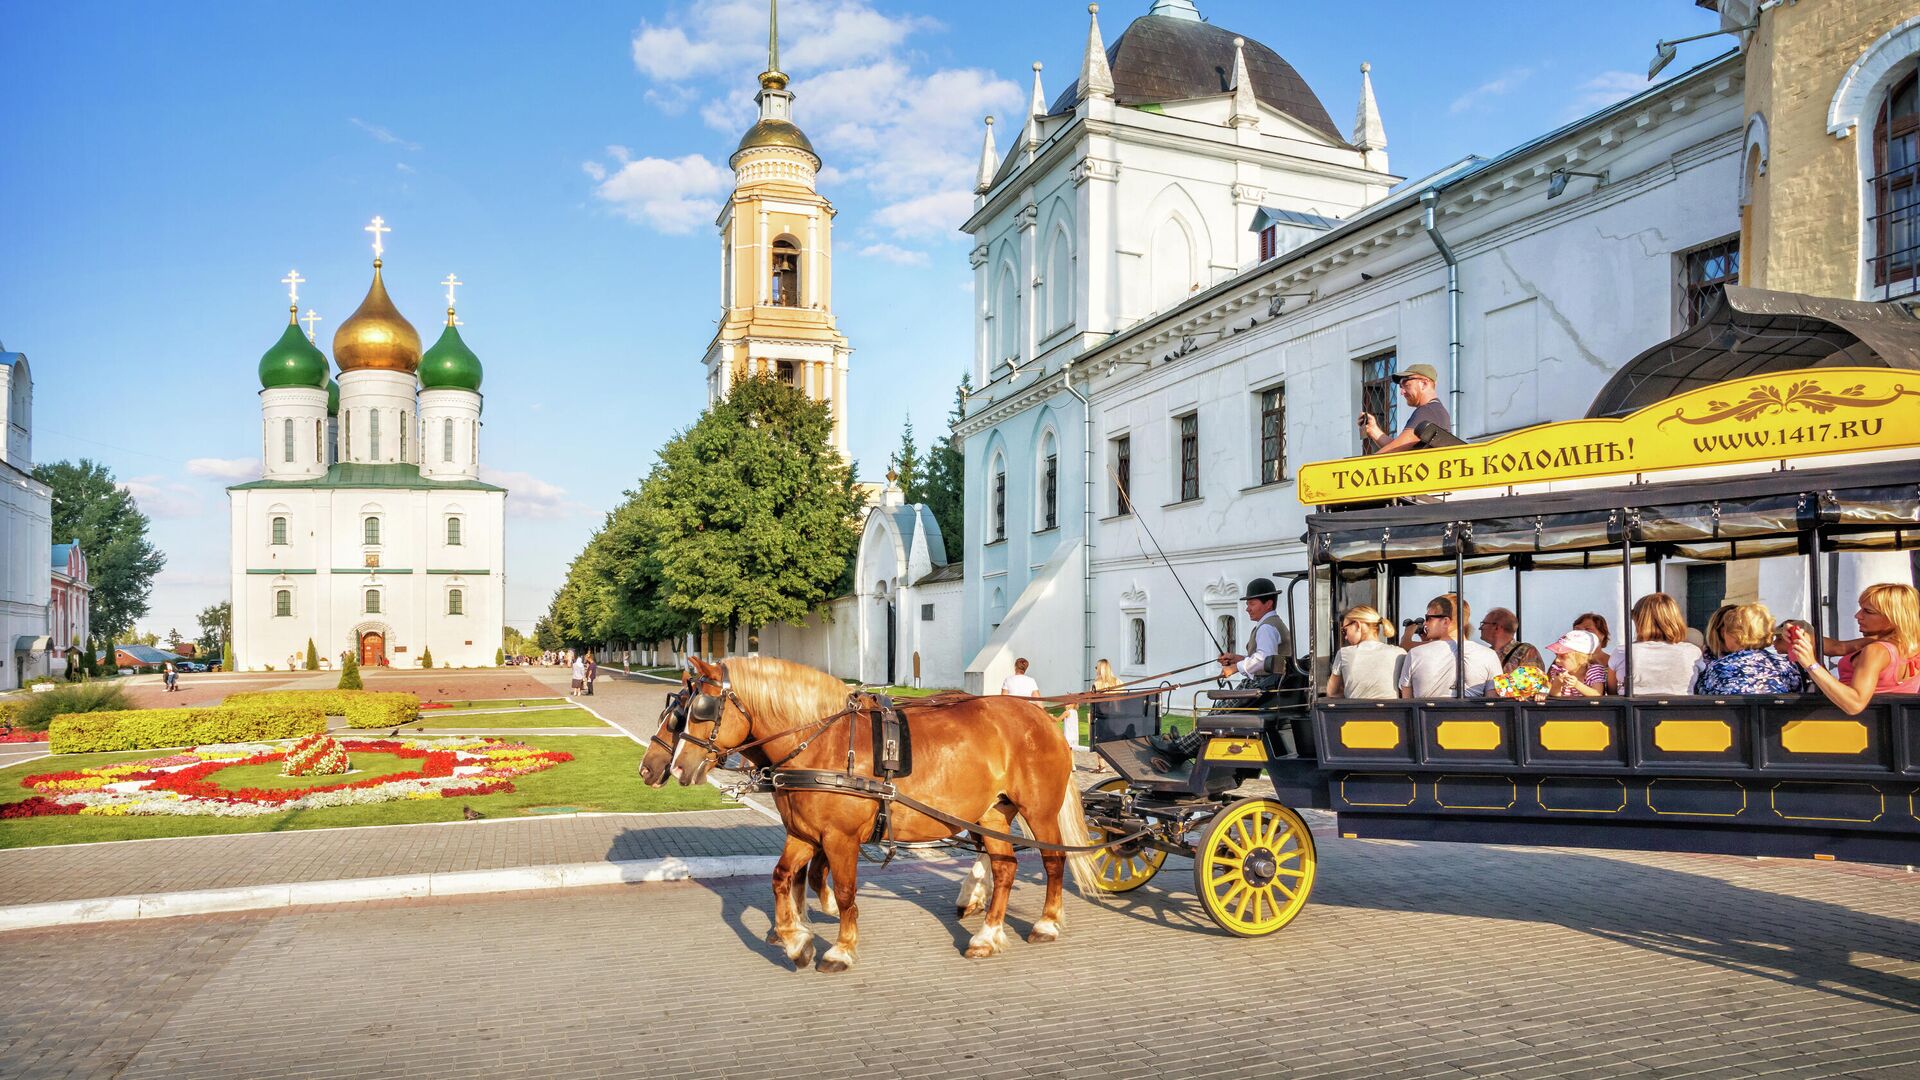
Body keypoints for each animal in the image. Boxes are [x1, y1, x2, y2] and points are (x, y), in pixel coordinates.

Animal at [645, 653, 1098, 972]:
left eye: (700, 709)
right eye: (679, 712)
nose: (669, 768)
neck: (821, 742)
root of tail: (1040, 715)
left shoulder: (839, 838)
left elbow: (844, 891)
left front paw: (839, 948)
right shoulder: (804, 832)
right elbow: (782, 877)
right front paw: (795, 938)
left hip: (1038, 811)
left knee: (1053, 861)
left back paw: (1045, 923)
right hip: (990, 815)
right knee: (1004, 867)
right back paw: (987, 933)